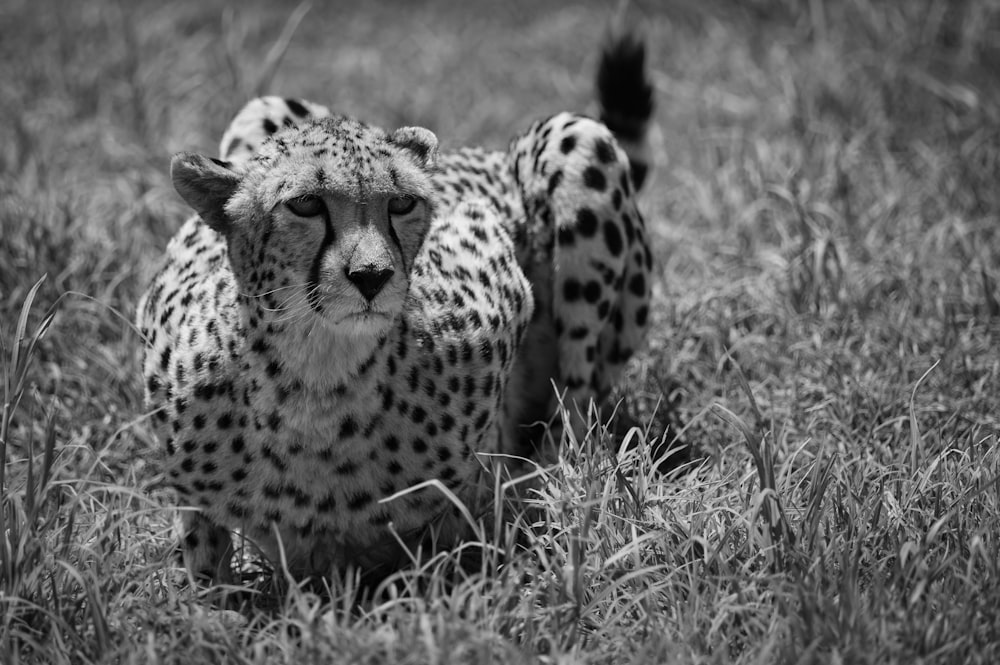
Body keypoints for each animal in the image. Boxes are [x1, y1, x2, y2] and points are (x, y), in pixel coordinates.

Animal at [139, 31, 656, 580]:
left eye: (403, 203)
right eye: (305, 203)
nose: (372, 276)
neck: (317, 380)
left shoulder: (493, 257)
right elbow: (201, 554)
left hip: (578, 140)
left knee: (580, 402)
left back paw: (558, 486)